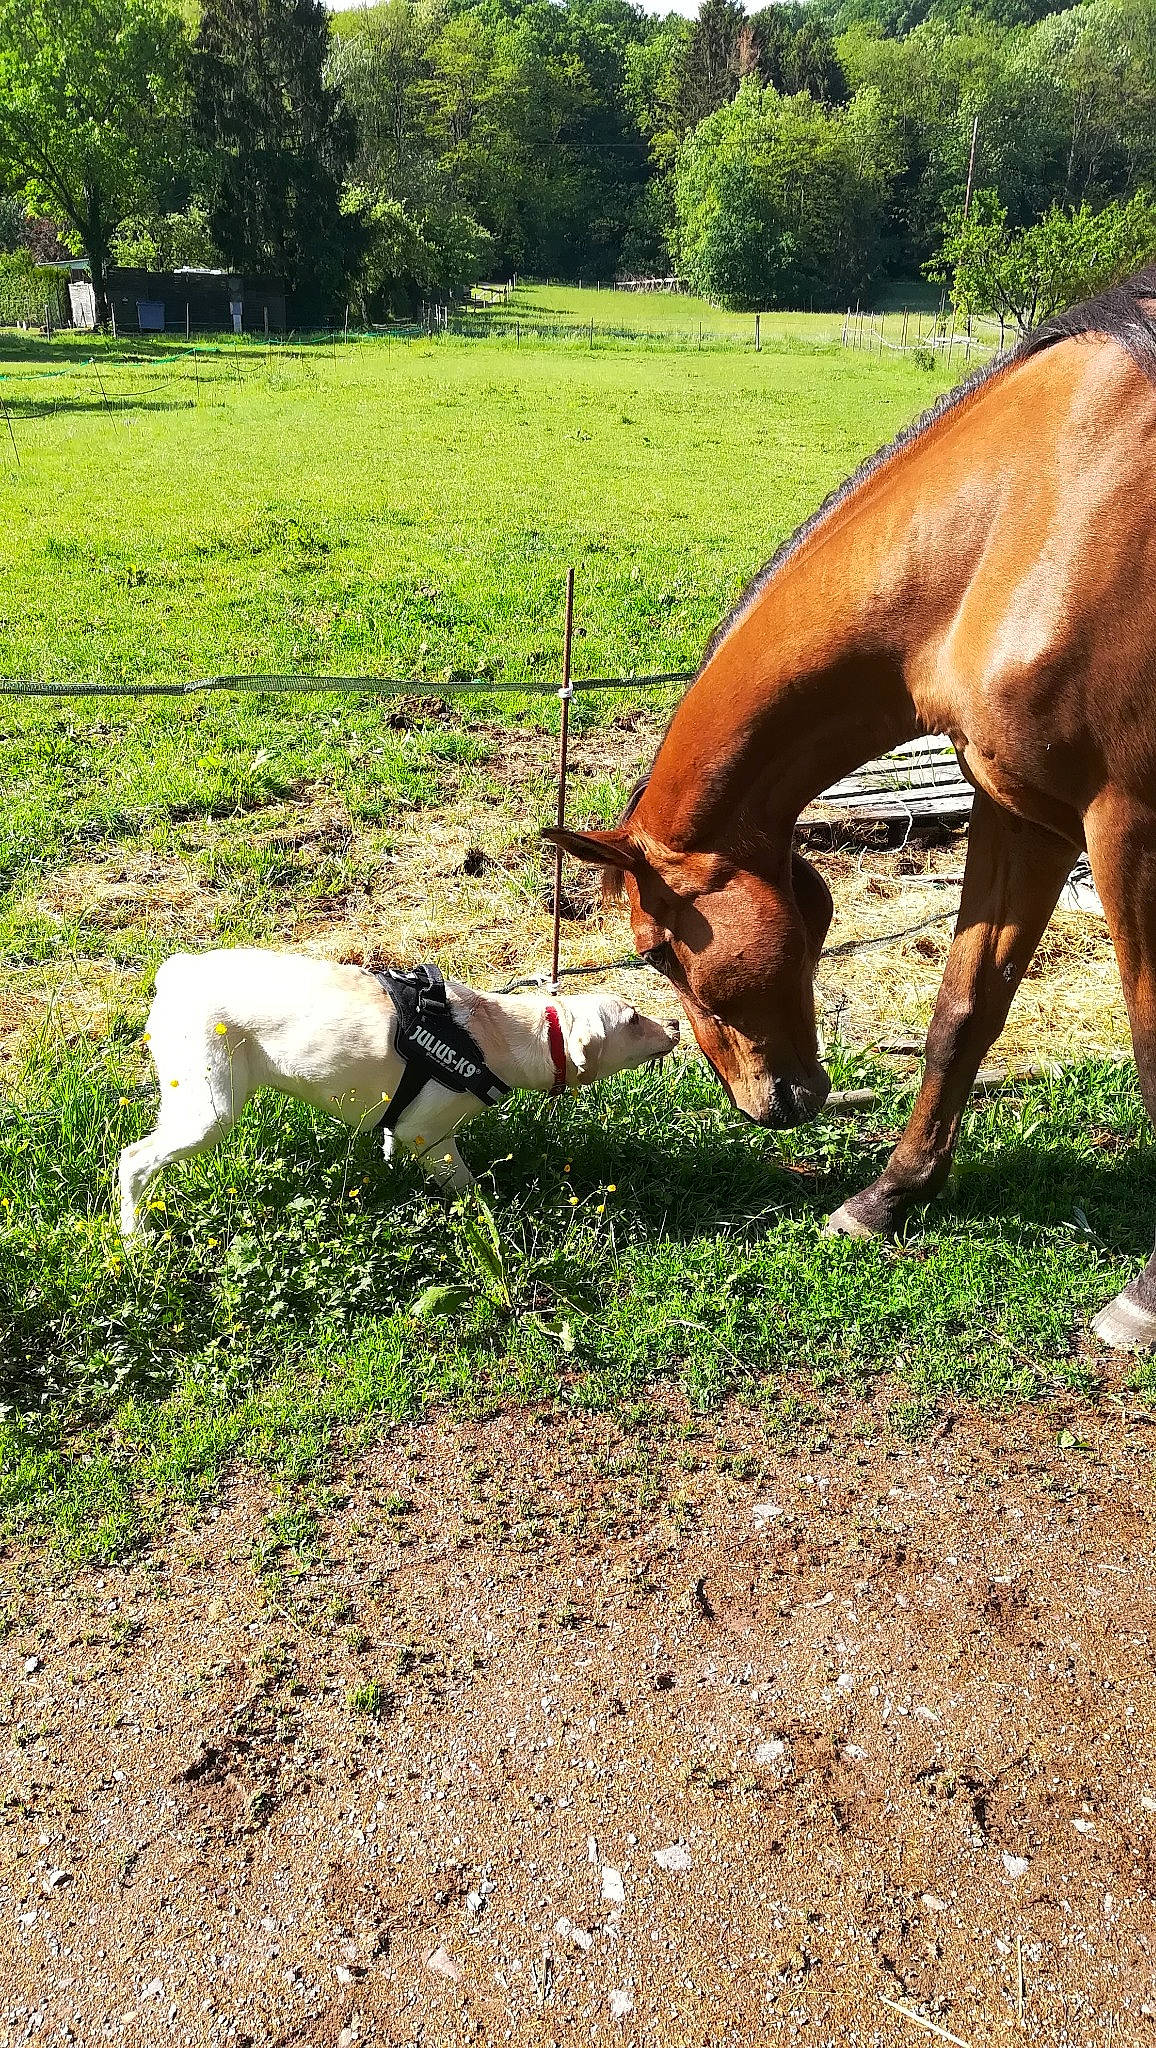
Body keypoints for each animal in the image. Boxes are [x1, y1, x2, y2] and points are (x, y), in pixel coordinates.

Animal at [546, 265, 1156, 1351]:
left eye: (657, 951)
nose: (765, 1105)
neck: (1028, 511)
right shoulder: (1023, 812)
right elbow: (963, 1009)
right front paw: (889, 1195)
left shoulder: (1127, 827)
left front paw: (1146, 1296)